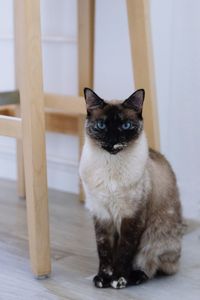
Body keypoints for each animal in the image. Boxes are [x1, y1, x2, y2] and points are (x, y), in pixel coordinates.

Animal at [79, 88, 183, 290]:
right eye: (101, 125)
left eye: (126, 125)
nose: (112, 140)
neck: (111, 166)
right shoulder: (102, 215)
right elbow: (104, 252)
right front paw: (103, 278)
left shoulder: (132, 216)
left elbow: (124, 252)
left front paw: (118, 279)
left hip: (153, 237)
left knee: (151, 266)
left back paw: (133, 277)